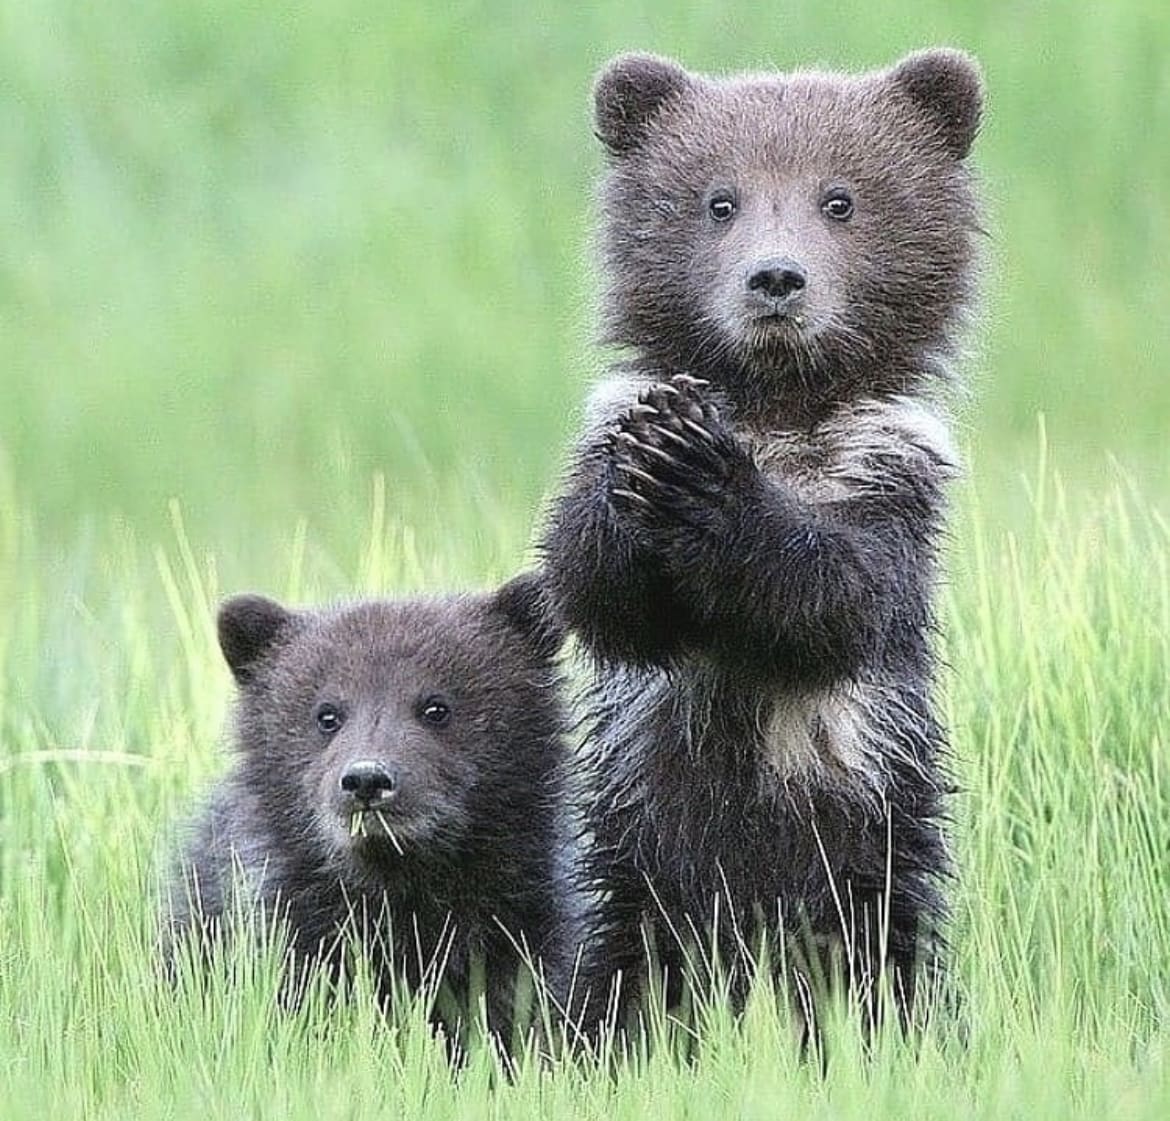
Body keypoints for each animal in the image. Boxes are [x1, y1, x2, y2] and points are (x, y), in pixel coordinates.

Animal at [539, 49, 983, 1035]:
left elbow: (836, 599)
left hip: (874, 842)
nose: (776, 279)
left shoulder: (884, 478)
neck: (780, 410)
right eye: (720, 199)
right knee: (629, 960)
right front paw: (653, 456)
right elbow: (597, 591)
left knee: (877, 949)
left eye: (840, 198)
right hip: (638, 857)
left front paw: (703, 475)